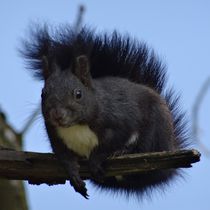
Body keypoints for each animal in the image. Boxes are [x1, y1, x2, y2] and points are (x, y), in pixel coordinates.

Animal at [20, 23, 188, 199]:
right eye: (43, 94)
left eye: (78, 94)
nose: (57, 115)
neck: (77, 126)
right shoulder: (55, 135)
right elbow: (65, 157)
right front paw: (73, 174)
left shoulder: (120, 122)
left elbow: (108, 145)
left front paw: (96, 160)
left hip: (156, 127)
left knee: (145, 146)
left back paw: (123, 151)